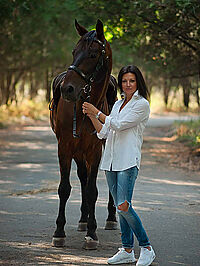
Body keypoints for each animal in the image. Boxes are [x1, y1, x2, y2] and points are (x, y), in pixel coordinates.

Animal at [50, 19, 118, 249]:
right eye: (74, 51)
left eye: (93, 54)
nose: (67, 89)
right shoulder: (65, 147)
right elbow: (65, 188)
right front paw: (59, 231)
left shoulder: (95, 150)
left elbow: (92, 191)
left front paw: (92, 232)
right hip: (77, 151)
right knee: (82, 176)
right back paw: (82, 218)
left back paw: (109, 218)